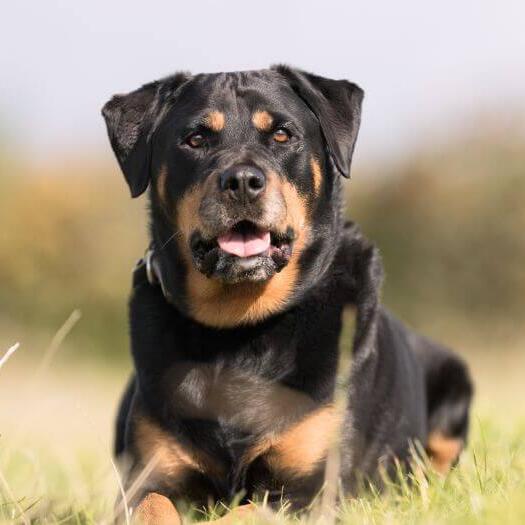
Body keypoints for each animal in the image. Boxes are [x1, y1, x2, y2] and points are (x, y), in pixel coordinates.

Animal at [101, 64, 470, 520]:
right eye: (196, 139)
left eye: (281, 134)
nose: (242, 181)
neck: (239, 327)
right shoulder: (149, 475)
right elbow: (153, 505)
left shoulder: (311, 487)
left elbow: (242, 514)